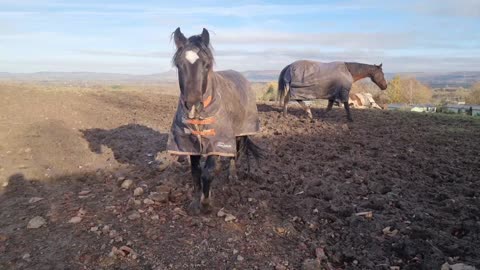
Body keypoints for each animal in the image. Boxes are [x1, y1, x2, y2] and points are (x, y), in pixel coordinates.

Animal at [166, 28, 262, 215]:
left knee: (235, 154)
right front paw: (195, 202)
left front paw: (206, 203)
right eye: (179, 65)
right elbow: (196, 172)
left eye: (206, 65)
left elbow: (207, 173)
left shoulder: (217, 140)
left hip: (240, 132)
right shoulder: (190, 143)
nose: (193, 105)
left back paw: (232, 175)